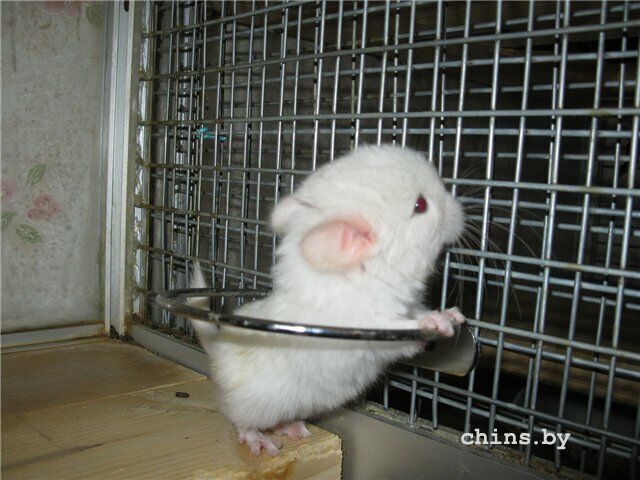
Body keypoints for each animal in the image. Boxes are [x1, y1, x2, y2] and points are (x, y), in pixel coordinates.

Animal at [189, 145, 466, 456]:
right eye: (420, 205)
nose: (461, 209)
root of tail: (216, 352)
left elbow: (417, 312)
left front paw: (453, 314)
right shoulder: (372, 327)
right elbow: (405, 328)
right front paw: (438, 322)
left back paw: (293, 428)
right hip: (250, 406)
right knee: (239, 421)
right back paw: (260, 441)